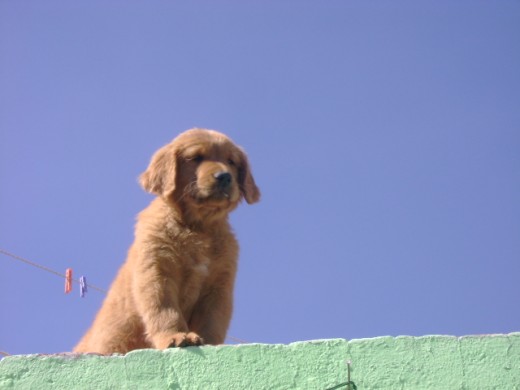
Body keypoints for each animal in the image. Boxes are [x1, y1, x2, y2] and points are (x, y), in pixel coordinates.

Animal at [73, 129, 260, 354]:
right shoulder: (156, 271)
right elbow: (165, 309)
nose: (224, 177)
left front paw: (212, 344)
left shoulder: (219, 285)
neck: (197, 227)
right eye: (196, 157)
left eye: (231, 161)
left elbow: (213, 321)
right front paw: (176, 335)